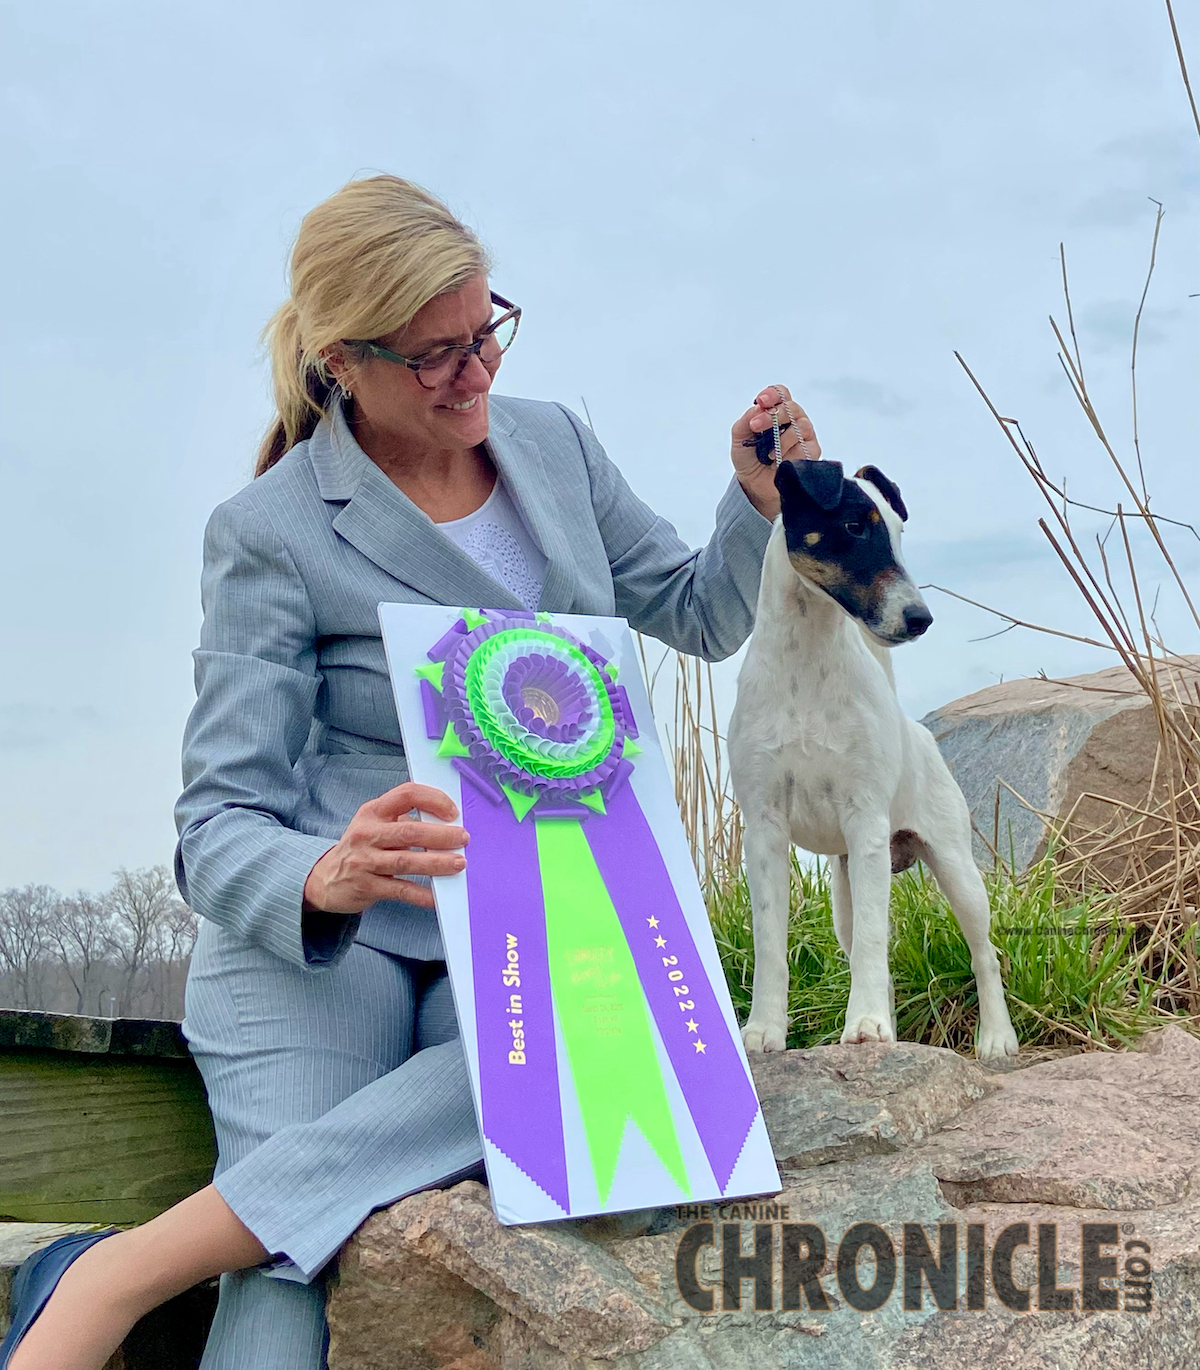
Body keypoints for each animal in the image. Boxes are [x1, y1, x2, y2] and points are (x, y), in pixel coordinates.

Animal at [728, 457, 1019, 1060]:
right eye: (855, 527)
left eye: (900, 531)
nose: (920, 618)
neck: (806, 668)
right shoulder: (764, 827)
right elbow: (770, 944)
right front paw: (765, 1030)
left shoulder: (864, 817)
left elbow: (872, 943)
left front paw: (861, 1024)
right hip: (845, 888)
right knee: (876, 960)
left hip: (955, 868)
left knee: (983, 953)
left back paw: (996, 1038)